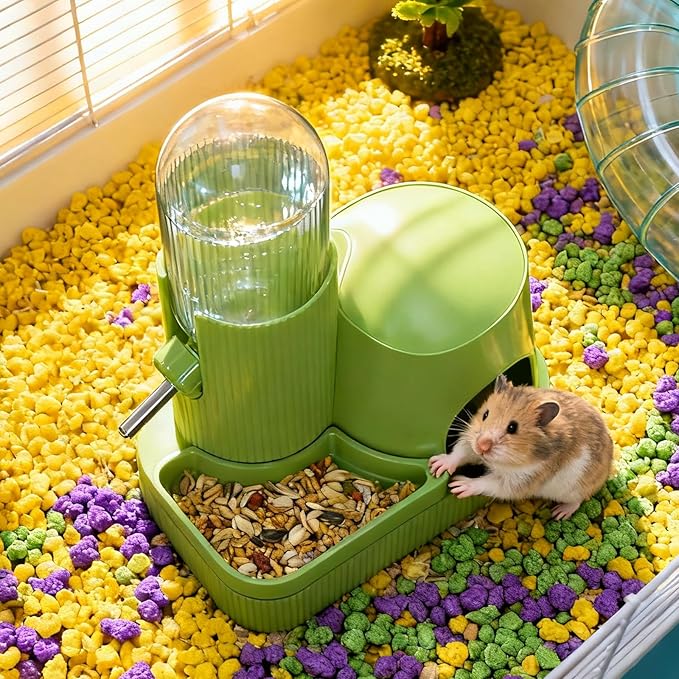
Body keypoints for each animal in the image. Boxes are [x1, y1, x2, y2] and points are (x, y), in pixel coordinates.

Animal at [429, 374, 614, 520]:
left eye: (513, 428)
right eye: (485, 414)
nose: (482, 446)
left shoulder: (519, 480)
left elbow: (488, 483)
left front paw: (458, 485)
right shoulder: (471, 439)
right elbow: (461, 452)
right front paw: (435, 466)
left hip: (575, 488)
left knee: (578, 500)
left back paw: (560, 513)